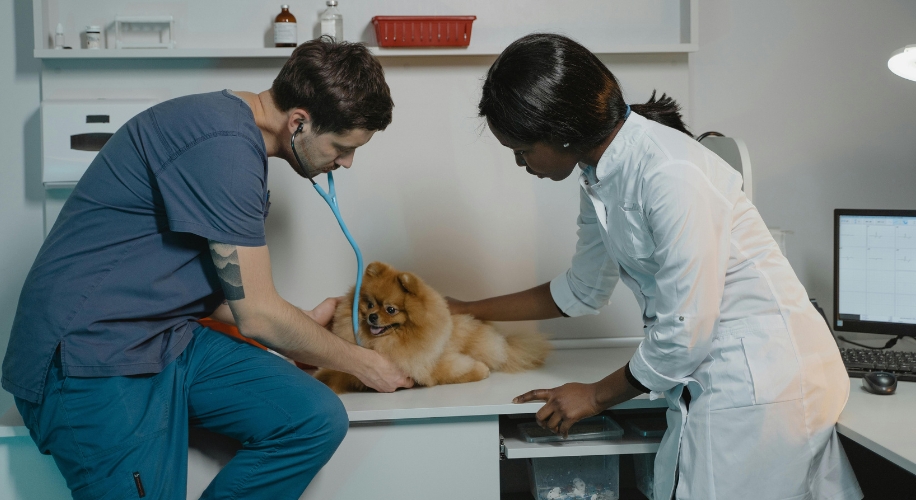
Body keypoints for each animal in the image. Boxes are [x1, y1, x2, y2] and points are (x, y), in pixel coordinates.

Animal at [318, 262, 552, 394]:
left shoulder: (430, 362)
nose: (372, 317)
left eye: (391, 309)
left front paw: (481, 370)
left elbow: (450, 372)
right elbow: (337, 372)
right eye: (369, 305)